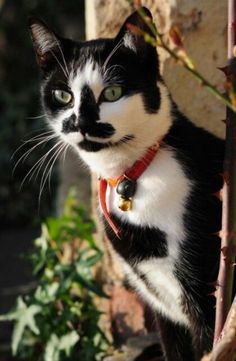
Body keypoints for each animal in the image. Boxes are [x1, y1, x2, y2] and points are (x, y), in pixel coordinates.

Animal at [29, 6, 225, 360]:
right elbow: (174, 349)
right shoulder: (162, 305)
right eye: (63, 95)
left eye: (112, 93)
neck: (131, 177)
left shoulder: (206, 290)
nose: (81, 122)